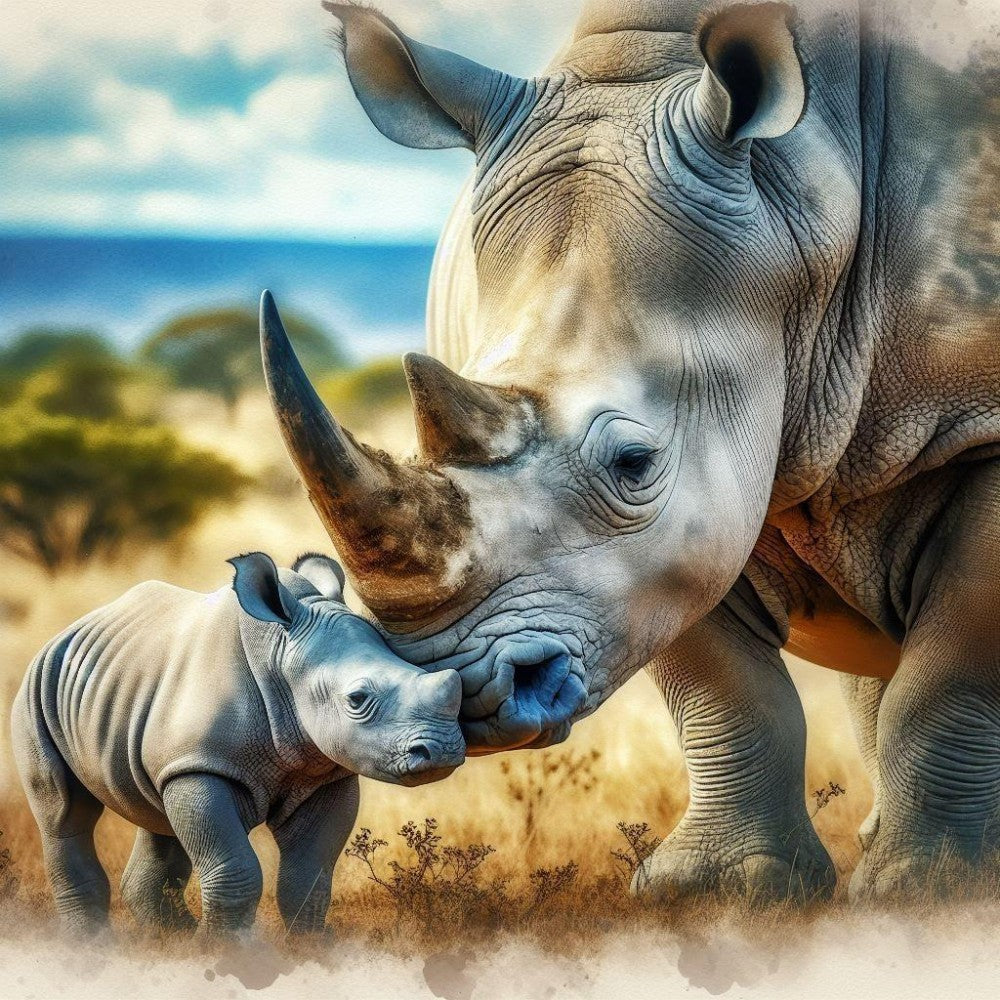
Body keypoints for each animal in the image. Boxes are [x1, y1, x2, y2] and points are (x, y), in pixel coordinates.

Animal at [10, 552, 464, 934]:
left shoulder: (323, 774)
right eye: (357, 699)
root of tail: (69, 630)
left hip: (134, 701)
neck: (281, 658)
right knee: (65, 814)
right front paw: (226, 952)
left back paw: (171, 939)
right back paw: (91, 946)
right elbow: (235, 870)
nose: (441, 750)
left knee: (158, 814)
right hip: (37, 687)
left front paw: (312, 947)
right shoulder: (202, 765)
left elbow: (309, 876)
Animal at [260, 0, 999, 903]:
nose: (465, 691)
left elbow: (955, 668)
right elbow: (719, 681)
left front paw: (927, 894)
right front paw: (721, 890)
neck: (802, 194)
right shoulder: (677, 525)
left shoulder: (980, 426)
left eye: (633, 464)